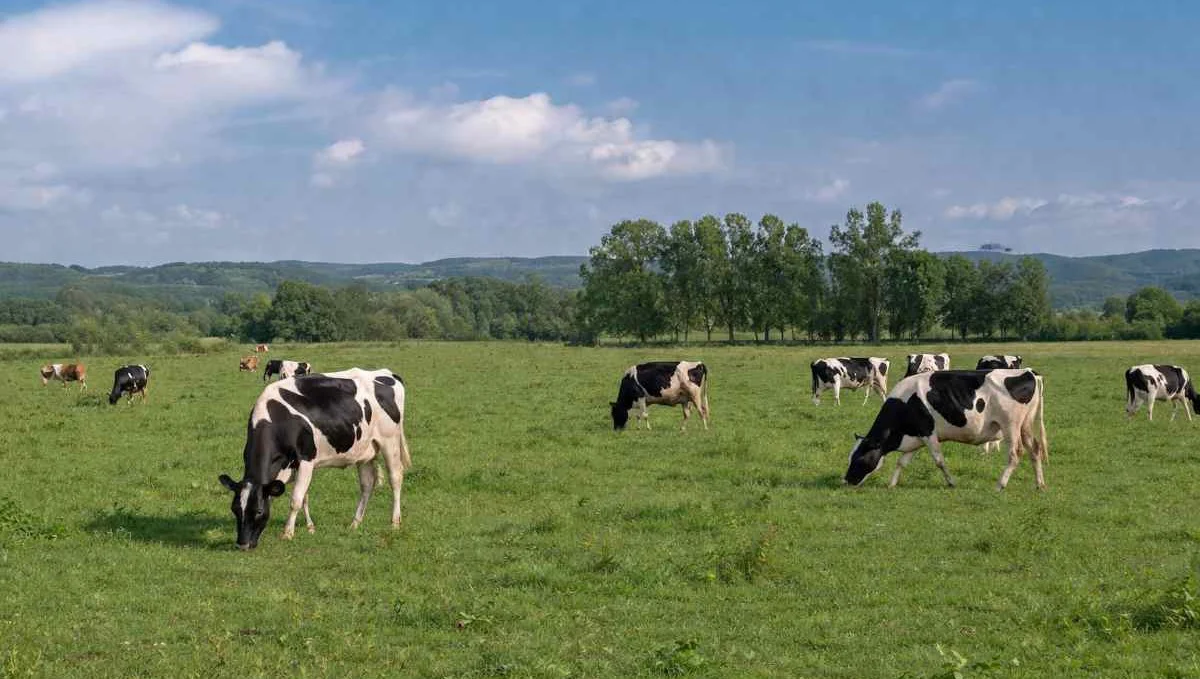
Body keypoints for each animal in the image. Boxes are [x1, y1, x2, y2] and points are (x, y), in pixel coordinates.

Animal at [217, 368, 411, 550]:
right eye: (234, 509)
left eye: (258, 511)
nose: (242, 544)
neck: (277, 418)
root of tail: (386, 373)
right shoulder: (289, 467)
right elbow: (303, 496)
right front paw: (310, 527)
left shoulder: (306, 459)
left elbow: (296, 499)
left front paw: (287, 533)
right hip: (364, 450)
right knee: (367, 485)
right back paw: (355, 523)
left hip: (390, 441)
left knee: (395, 478)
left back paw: (395, 522)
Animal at [843, 369, 1048, 490]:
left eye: (859, 458)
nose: (846, 480)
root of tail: (1029, 372)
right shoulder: (917, 437)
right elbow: (902, 462)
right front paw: (892, 484)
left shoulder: (928, 433)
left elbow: (939, 461)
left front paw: (951, 482)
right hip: (1025, 425)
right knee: (1034, 449)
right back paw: (1039, 484)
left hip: (1010, 425)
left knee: (1015, 453)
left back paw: (1000, 485)